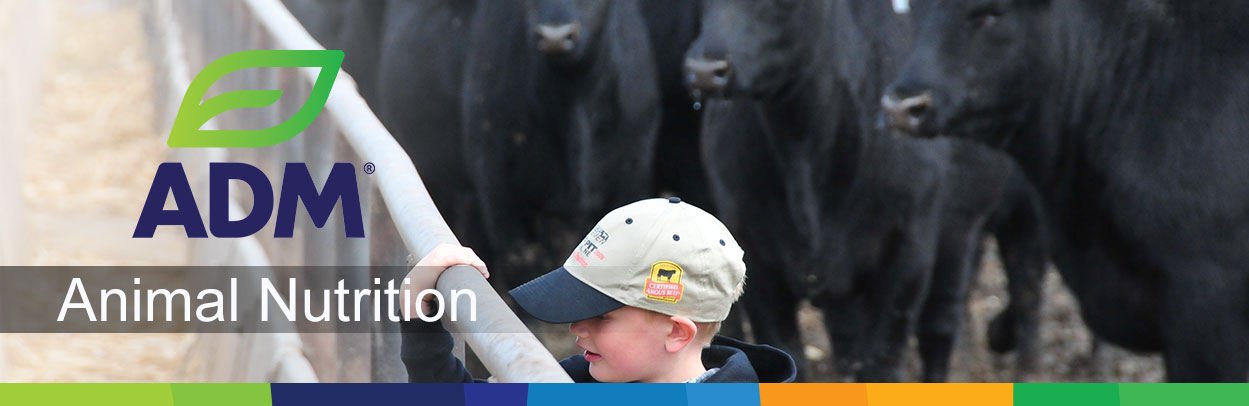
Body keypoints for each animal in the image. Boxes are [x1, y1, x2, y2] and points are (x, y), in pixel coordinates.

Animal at [685, 0, 1048, 382]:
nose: (705, 70)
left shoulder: (908, 254)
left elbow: (882, 361)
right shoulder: (756, 252)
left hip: (974, 228)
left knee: (965, 312)